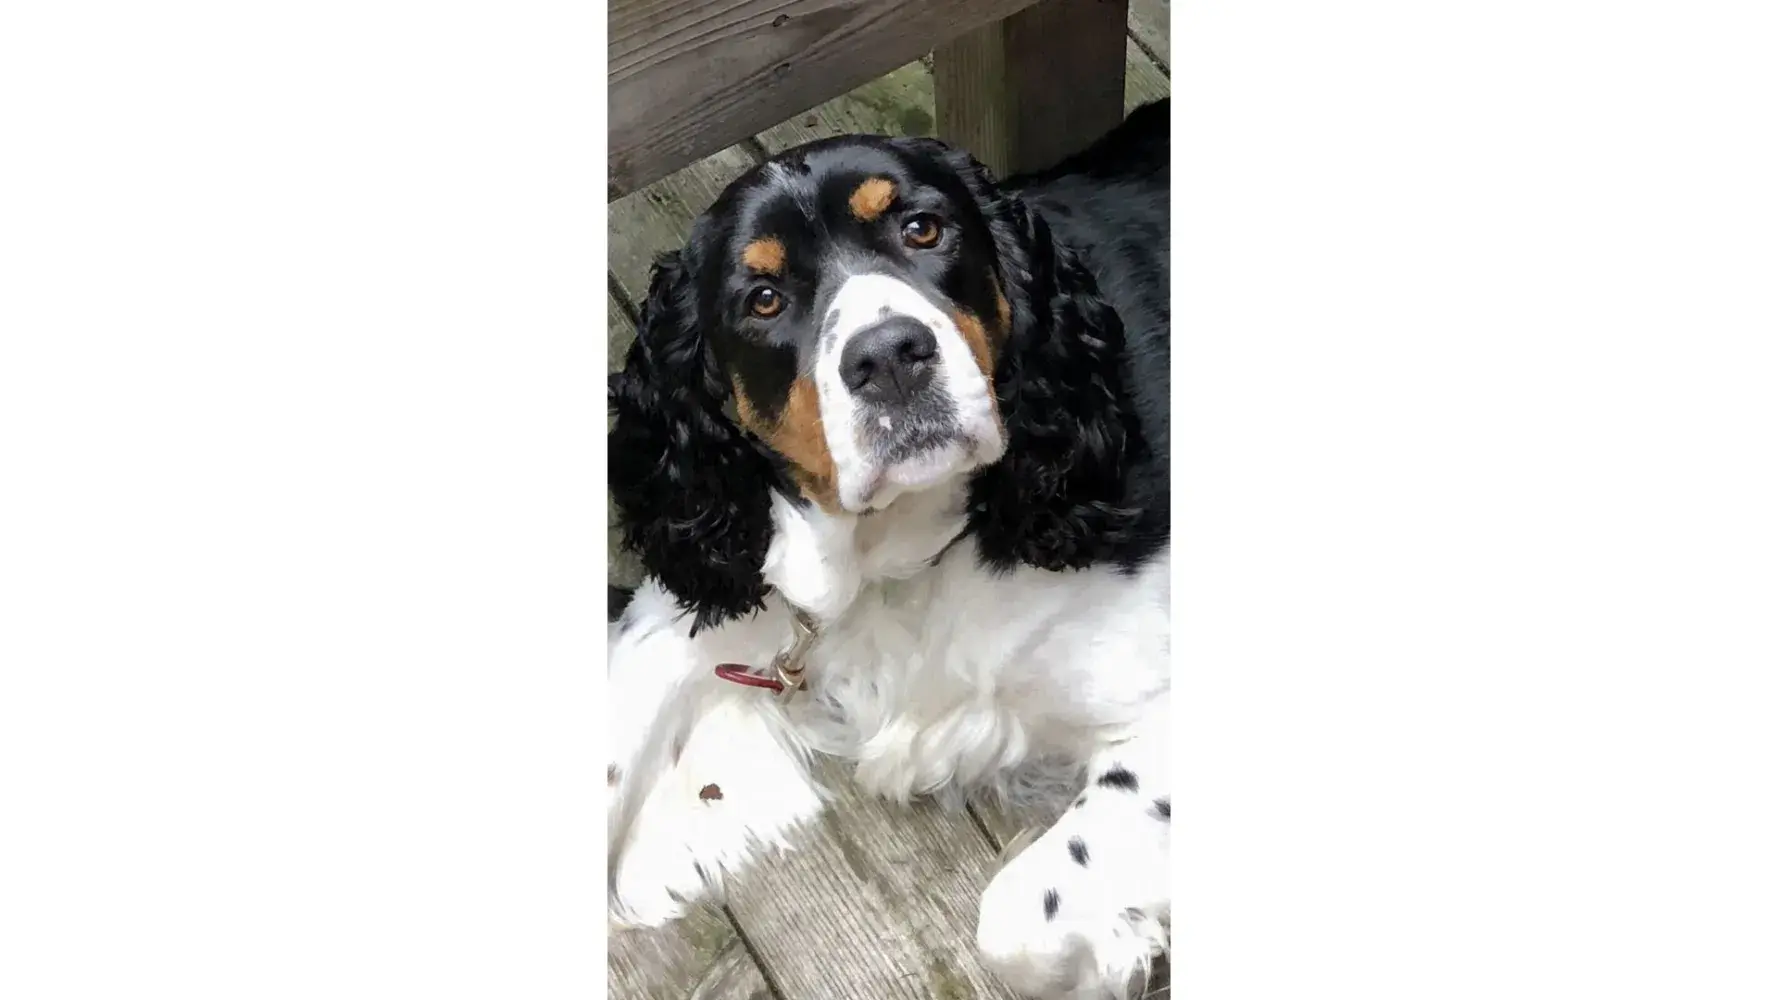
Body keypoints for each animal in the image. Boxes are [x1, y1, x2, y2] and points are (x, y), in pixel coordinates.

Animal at [608, 100, 1170, 999]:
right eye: (763, 298)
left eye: (922, 228)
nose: (890, 357)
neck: (899, 555)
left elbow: (1018, 923)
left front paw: (1120, 946)